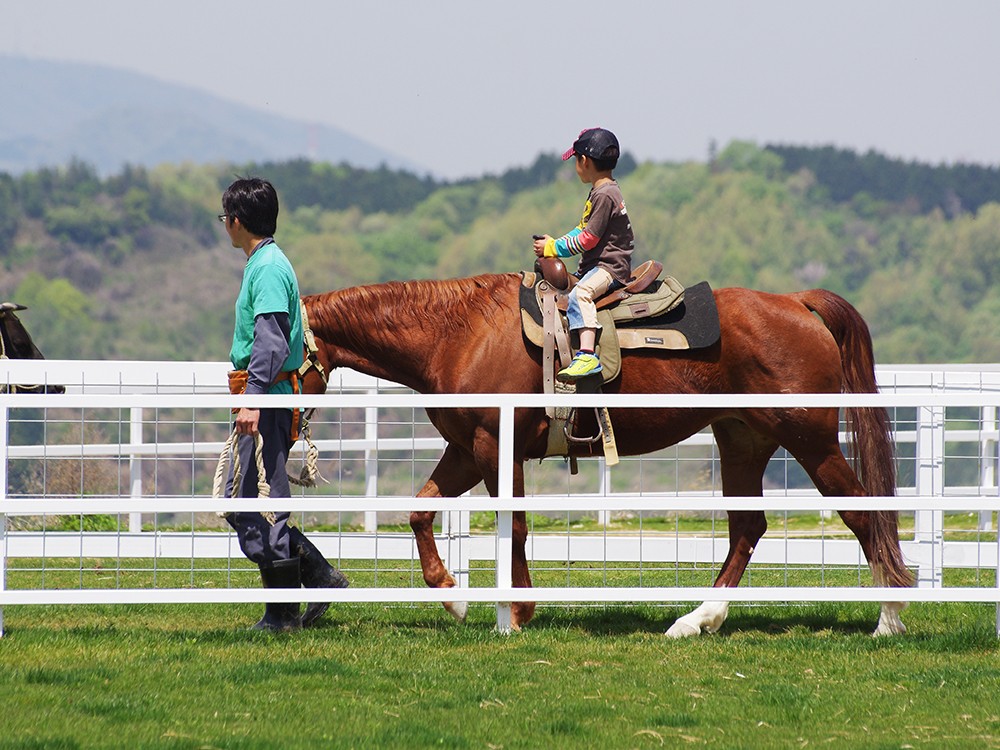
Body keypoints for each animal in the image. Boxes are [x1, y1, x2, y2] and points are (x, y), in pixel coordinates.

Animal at [302, 274, 916, 636]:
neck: (459, 333)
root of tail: (796, 302)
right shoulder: (467, 449)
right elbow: (420, 509)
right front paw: (452, 597)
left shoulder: (496, 446)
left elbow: (514, 525)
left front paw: (517, 612)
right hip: (742, 439)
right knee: (748, 528)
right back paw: (697, 619)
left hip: (810, 440)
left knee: (862, 513)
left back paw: (888, 620)